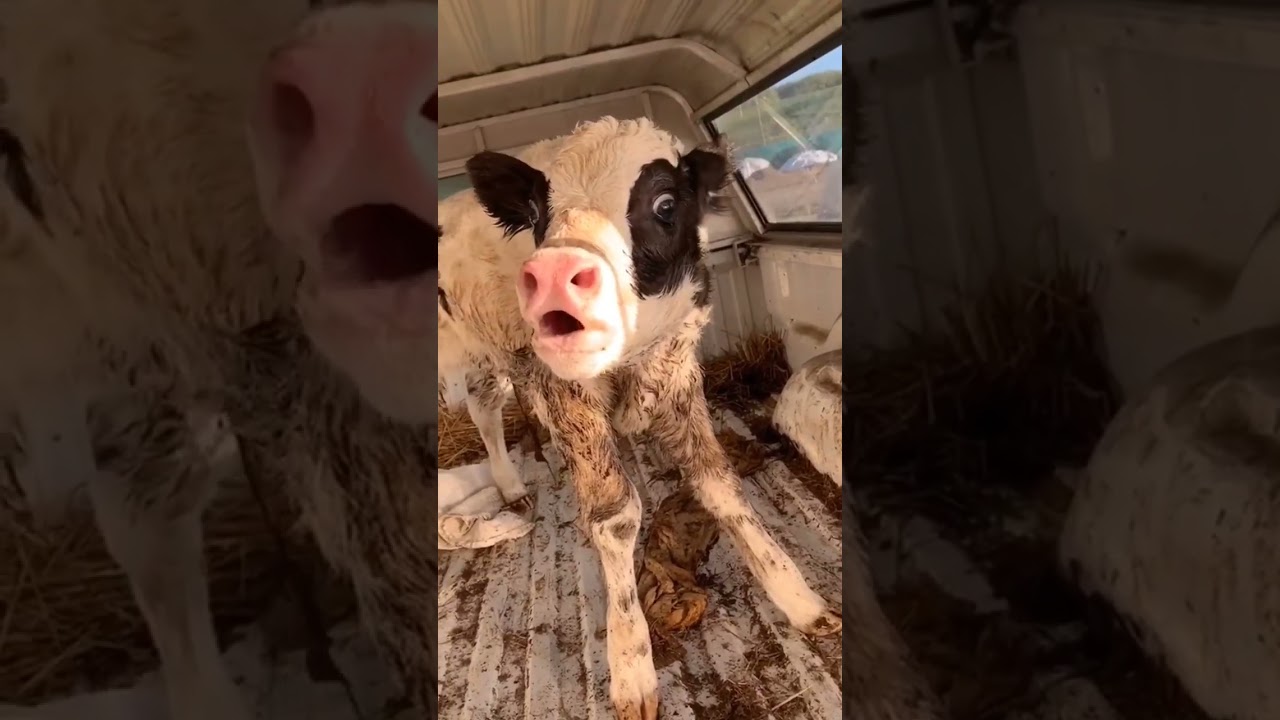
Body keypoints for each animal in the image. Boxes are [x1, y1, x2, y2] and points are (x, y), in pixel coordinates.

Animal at [436, 117, 843, 720]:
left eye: (665, 203)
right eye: (536, 214)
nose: (553, 273)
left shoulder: (677, 374)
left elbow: (719, 484)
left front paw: (799, 598)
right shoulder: (569, 394)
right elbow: (615, 518)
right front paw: (632, 666)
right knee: (484, 411)